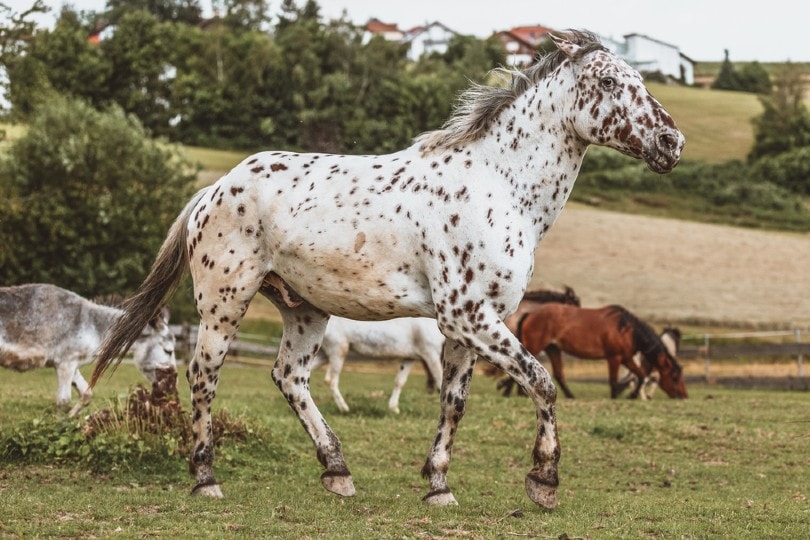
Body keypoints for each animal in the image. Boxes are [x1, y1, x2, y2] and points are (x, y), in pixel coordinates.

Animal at [0, 282, 176, 418]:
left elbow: (86, 394)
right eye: (168, 351)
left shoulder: (71, 364)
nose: (174, 383)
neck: (92, 325)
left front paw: (71, 420)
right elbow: (64, 402)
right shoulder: (66, 363)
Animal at [312, 316, 446, 414]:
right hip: (338, 350)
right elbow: (440, 380)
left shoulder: (410, 358)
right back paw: (344, 408)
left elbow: (399, 381)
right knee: (331, 380)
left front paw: (394, 408)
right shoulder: (431, 354)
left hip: (323, 355)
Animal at [516, 306, 684, 398]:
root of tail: (530, 314)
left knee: (558, 374)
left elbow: (641, 376)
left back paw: (570, 396)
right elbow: (614, 380)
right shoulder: (614, 358)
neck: (627, 330)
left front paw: (632, 395)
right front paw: (615, 396)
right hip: (535, 347)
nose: (683, 395)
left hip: (553, 349)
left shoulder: (626, 358)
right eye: (675, 377)